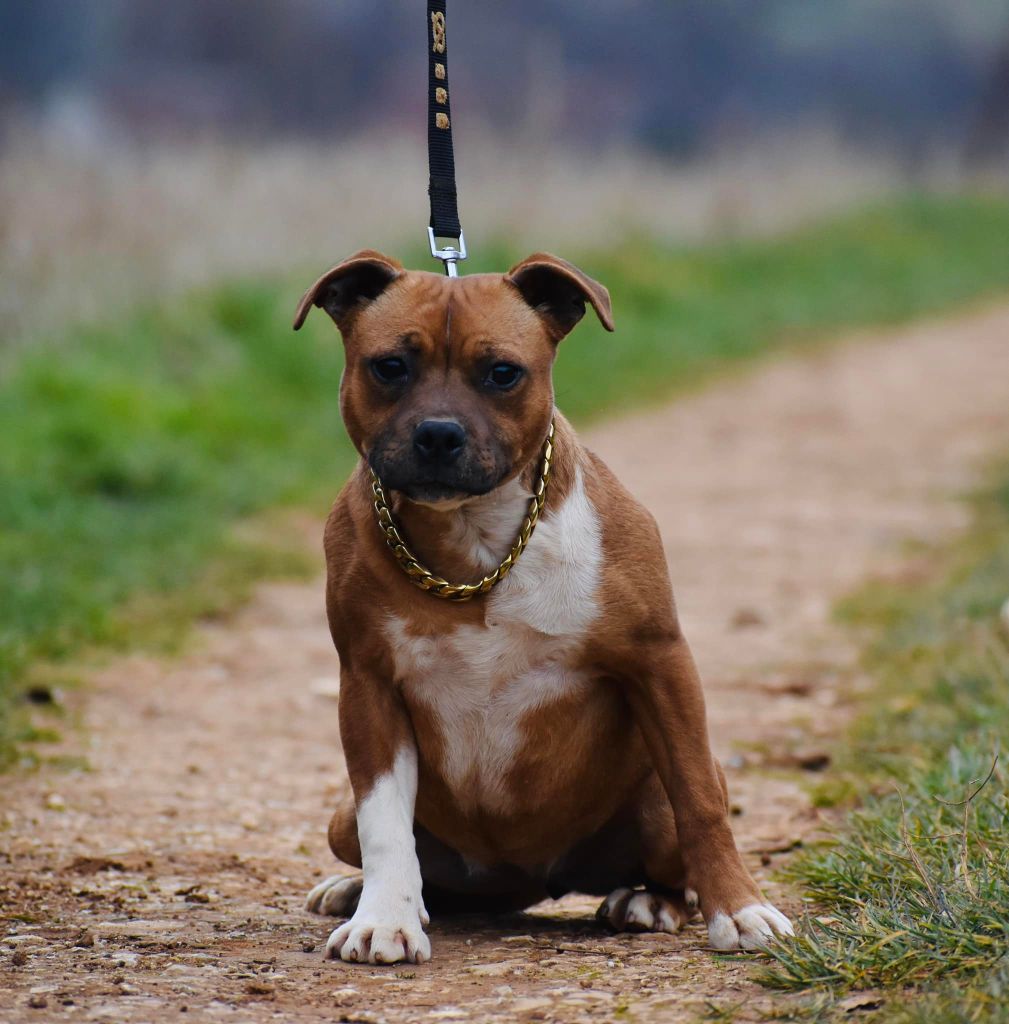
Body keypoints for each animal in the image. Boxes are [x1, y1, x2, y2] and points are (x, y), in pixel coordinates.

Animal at [292, 251, 794, 962]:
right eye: (389, 366)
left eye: (503, 373)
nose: (438, 434)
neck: (474, 545)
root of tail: (534, 880)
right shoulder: (368, 685)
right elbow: (384, 822)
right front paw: (383, 919)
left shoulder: (659, 661)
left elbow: (698, 798)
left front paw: (743, 911)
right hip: (348, 819)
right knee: (400, 857)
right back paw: (357, 890)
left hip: (650, 800)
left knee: (673, 843)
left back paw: (649, 901)